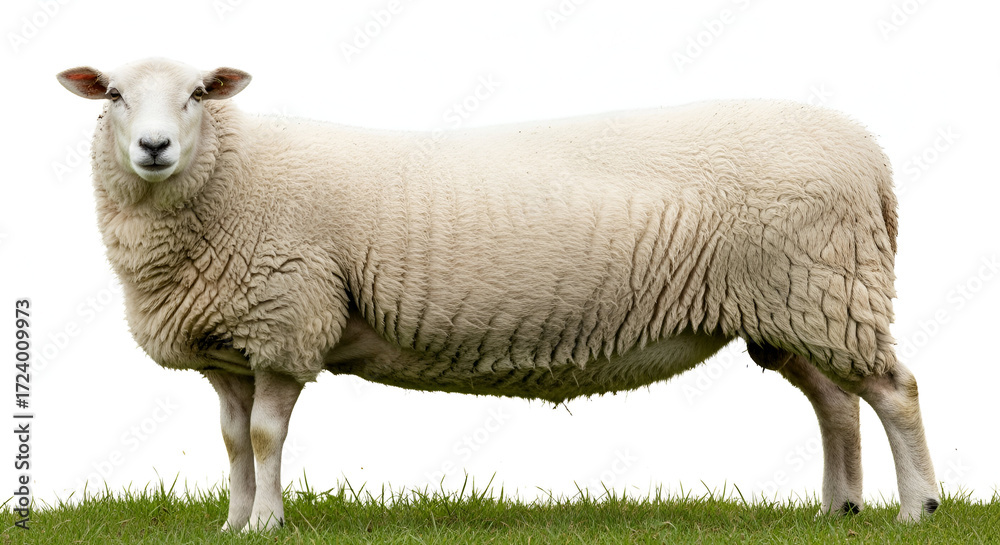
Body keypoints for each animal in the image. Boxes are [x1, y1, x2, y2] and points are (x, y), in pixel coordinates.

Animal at [57, 57, 938, 532]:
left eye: (199, 94)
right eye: (114, 96)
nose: (154, 147)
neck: (231, 177)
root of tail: (872, 155)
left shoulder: (287, 321)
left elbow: (269, 436)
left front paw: (271, 522)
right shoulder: (233, 346)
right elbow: (235, 441)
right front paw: (236, 521)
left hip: (822, 286)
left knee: (894, 389)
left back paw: (917, 506)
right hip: (794, 306)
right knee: (835, 400)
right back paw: (837, 508)